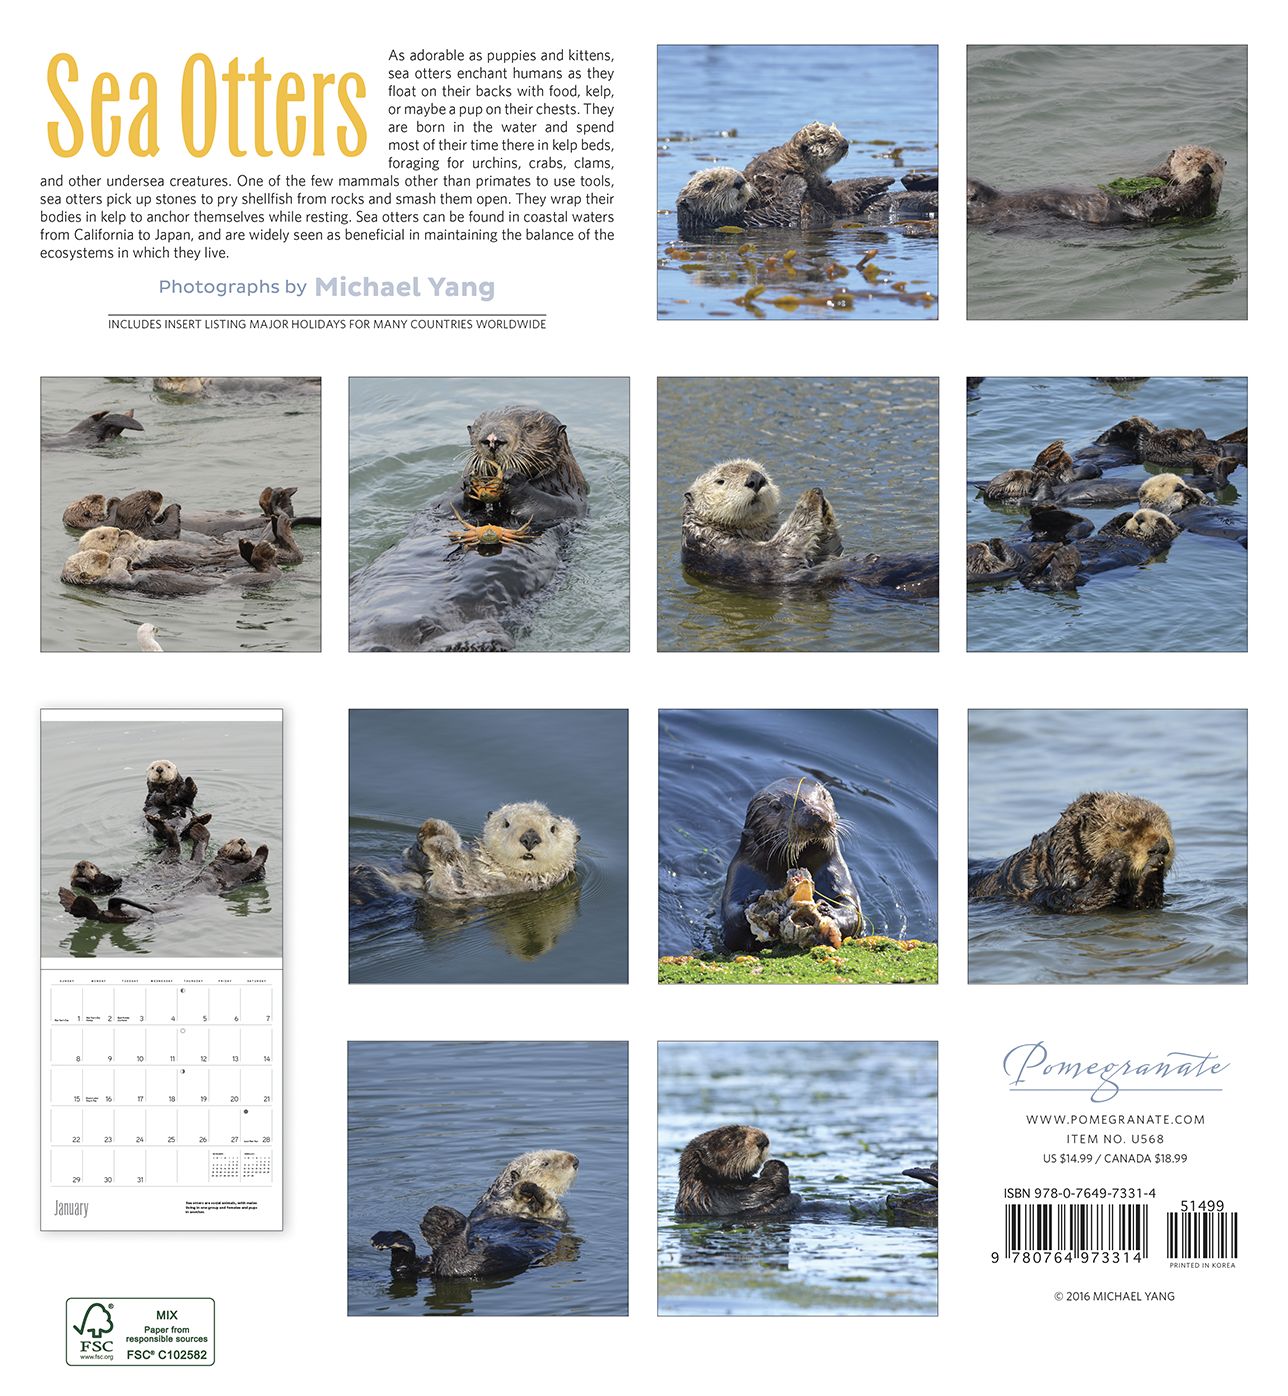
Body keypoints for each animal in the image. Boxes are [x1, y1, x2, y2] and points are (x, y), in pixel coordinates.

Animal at [349, 407, 591, 652]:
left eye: (530, 427)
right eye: (478, 427)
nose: (492, 439)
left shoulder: (572, 499)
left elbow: (550, 506)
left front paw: (513, 479)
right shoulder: (443, 502)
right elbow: (445, 505)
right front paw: (470, 481)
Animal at [682, 460, 938, 597]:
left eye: (762, 472)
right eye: (720, 481)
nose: (756, 479)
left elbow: (829, 551)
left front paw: (825, 509)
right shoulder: (736, 556)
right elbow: (783, 549)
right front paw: (810, 499)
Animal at [720, 777, 860, 952]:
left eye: (823, 796)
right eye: (776, 807)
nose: (815, 814)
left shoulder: (836, 872)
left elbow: (852, 907)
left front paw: (828, 911)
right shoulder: (739, 872)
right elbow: (730, 923)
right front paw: (755, 899)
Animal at [968, 146, 1226, 227]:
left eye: (1215, 161)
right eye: (1189, 158)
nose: (1206, 169)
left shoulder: (1196, 213)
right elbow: (1159, 199)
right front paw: (1197, 181)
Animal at [969, 792, 1174, 913]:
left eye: (1166, 825)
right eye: (1122, 827)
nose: (1161, 847)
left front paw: (1154, 868)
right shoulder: (1041, 892)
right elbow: (1071, 902)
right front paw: (1113, 863)